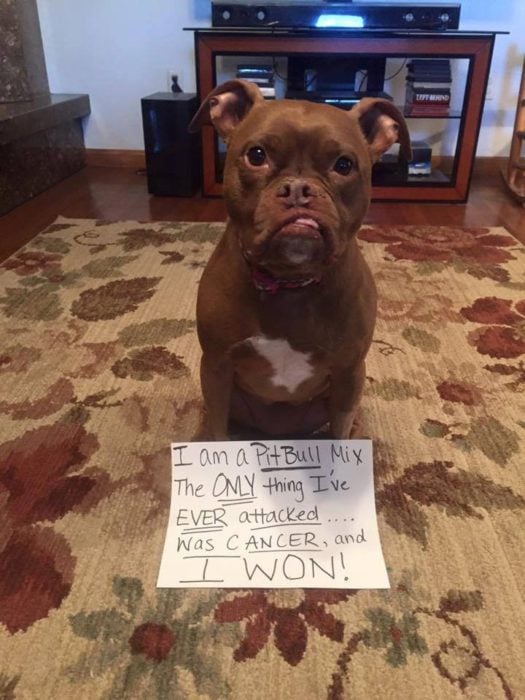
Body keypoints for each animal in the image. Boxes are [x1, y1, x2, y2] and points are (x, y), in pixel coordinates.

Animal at [188, 78, 410, 438]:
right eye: (256, 155)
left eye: (344, 165)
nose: (298, 189)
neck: (288, 279)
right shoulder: (216, 367)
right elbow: (219, 431)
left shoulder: (349, 375)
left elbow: (340, 433)